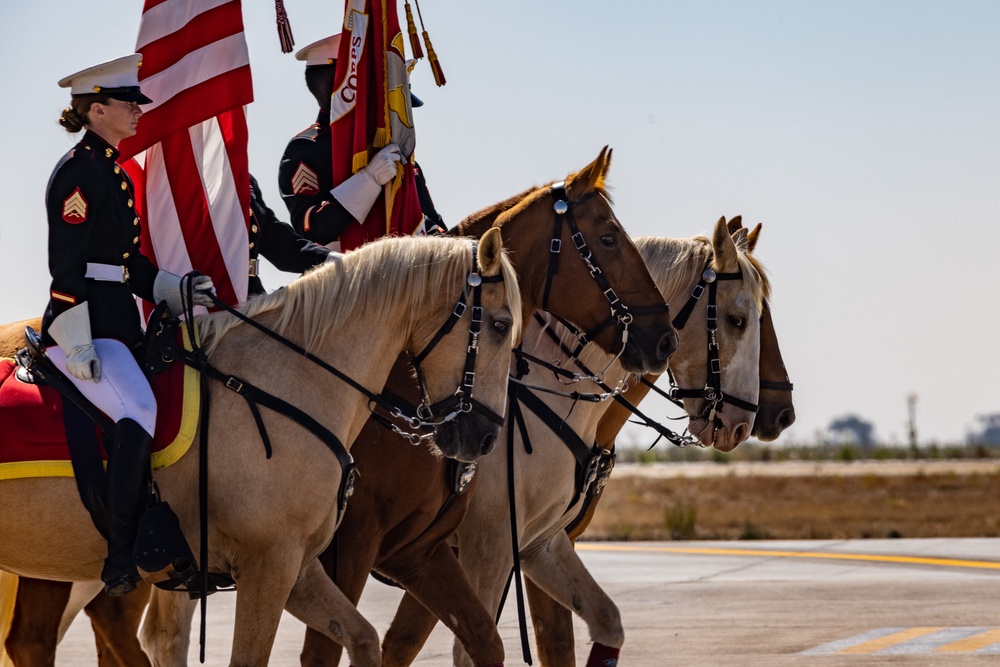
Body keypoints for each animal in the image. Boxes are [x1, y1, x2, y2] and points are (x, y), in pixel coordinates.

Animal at [1, 231, 524, 667]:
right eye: (500, 325)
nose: (484, 438)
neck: (289, 379)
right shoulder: (267, 565)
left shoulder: (298, 567)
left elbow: (362, 638)